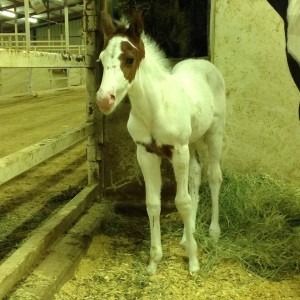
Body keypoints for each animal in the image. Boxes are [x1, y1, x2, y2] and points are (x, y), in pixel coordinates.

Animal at [96, 11, 225, 274]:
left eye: (130, 58)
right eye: (101, 58)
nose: (104, 100)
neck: (155, 108)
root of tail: (205, 64)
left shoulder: (178, 151)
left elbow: (182, 201)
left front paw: (193, 261)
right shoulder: (146, 153)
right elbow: (153, 203)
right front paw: (154, 261)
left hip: (214, 133)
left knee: (214, 176)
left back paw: (213, 232)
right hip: (192, 141)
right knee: (196, 174)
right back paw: (188, 233)